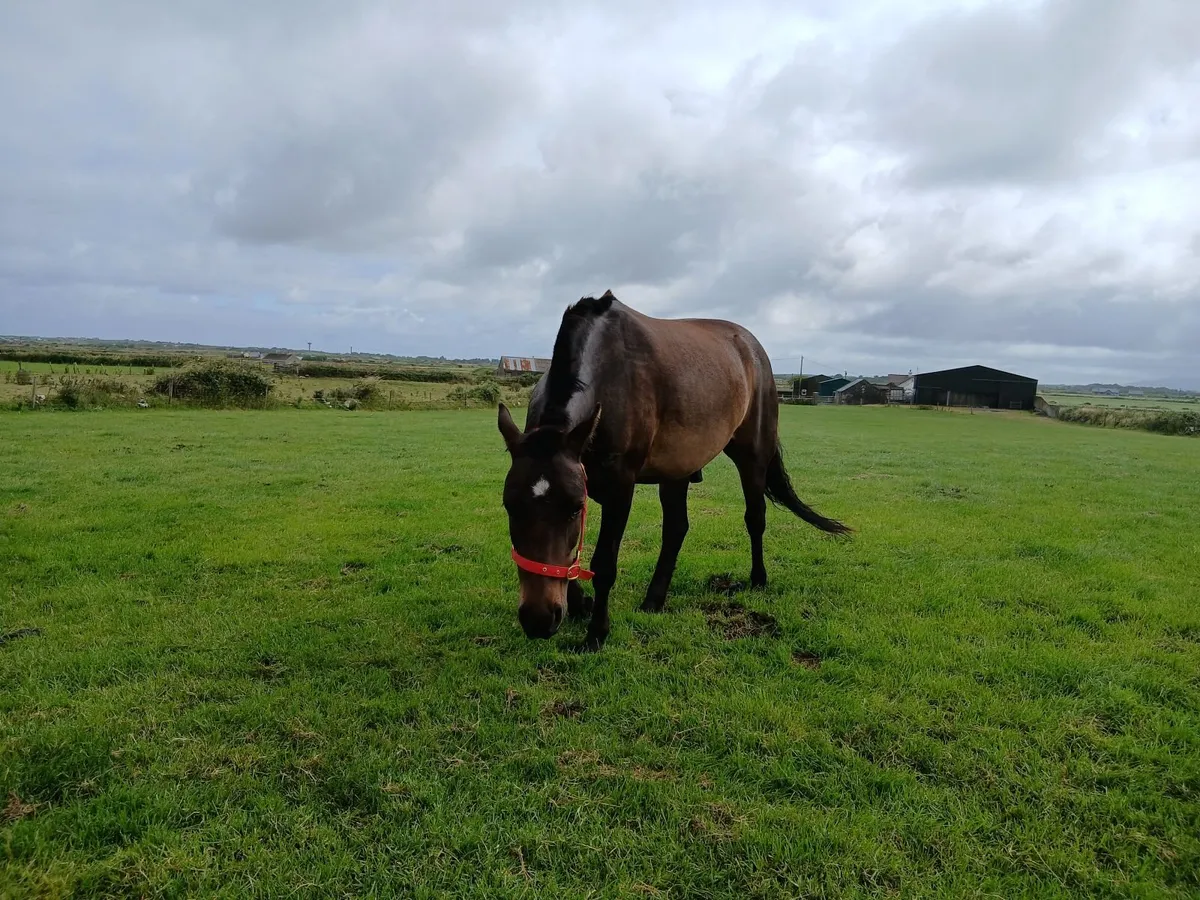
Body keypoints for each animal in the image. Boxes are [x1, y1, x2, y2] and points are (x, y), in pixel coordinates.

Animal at [497, 290, 850, 650]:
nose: (539, 619)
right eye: (510, 506)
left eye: (573, 509)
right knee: (677, 529)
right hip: (677, 471)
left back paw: (757, 579)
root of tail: (753, 348)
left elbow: (604, 563)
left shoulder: (620, 488)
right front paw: (581, 604)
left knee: (755, 517)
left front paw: (596, 632)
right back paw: (655, 598)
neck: (607, 376)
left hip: (752, 456)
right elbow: (568, 559)